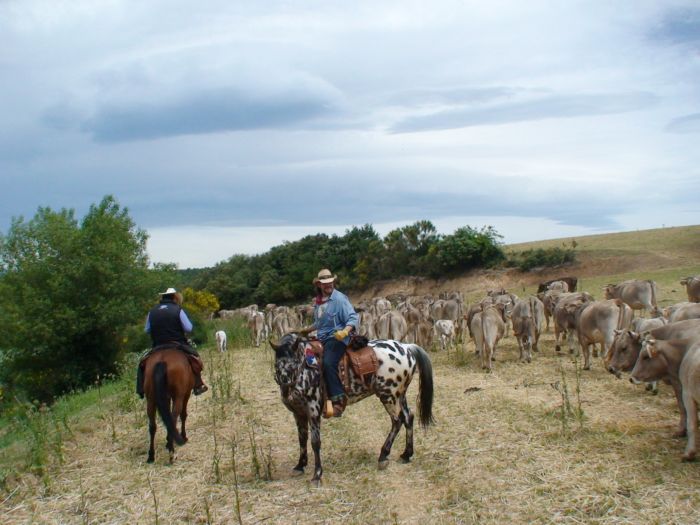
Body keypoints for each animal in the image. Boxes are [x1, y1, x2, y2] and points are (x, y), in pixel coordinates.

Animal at [268, 332, 432, 484]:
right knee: (408, 417)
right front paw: (300, 465)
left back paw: (383, 456)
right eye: (276, 366)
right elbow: (302, 438)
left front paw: (317, 475)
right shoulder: (298, 413)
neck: (306, 370)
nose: (287, 394)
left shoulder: (313, 410)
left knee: (397, 421)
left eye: (294, 364)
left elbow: (315, 442)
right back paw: (406, 454)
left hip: (388, 396)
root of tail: (406, 347)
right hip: (400, 396)